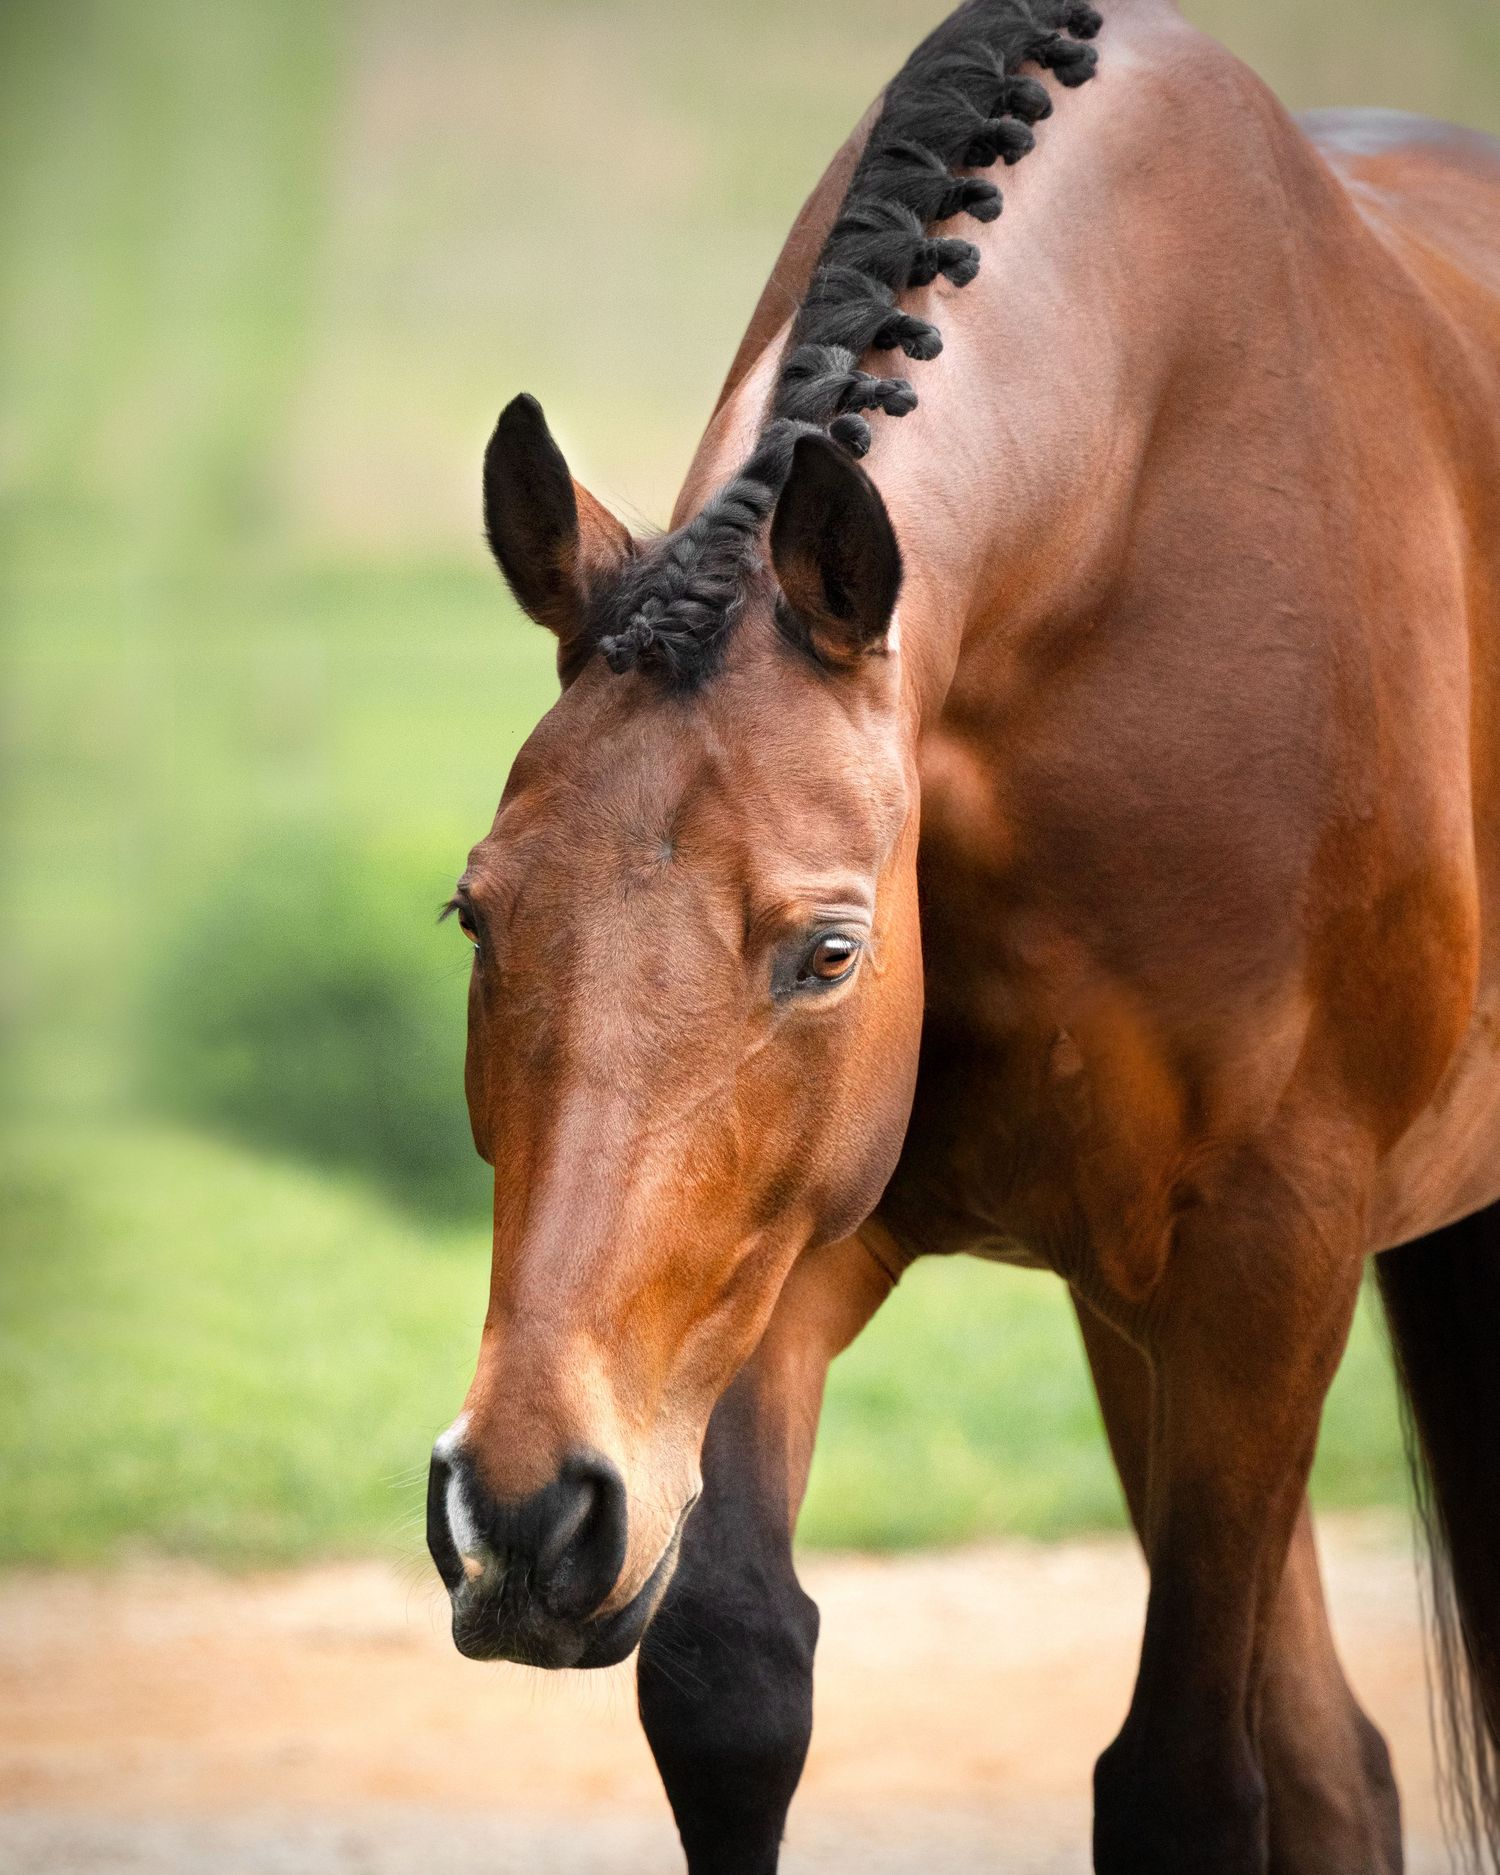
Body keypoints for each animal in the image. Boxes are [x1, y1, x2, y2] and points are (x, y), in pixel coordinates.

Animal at [422, 1, 1500, 1868]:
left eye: (828, 951)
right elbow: (730, 1676)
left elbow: (1180, 1781)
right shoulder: (794, 1244)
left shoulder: (1270, 1258)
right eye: (475, 913)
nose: (525, 1513)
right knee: (1336, 1763)